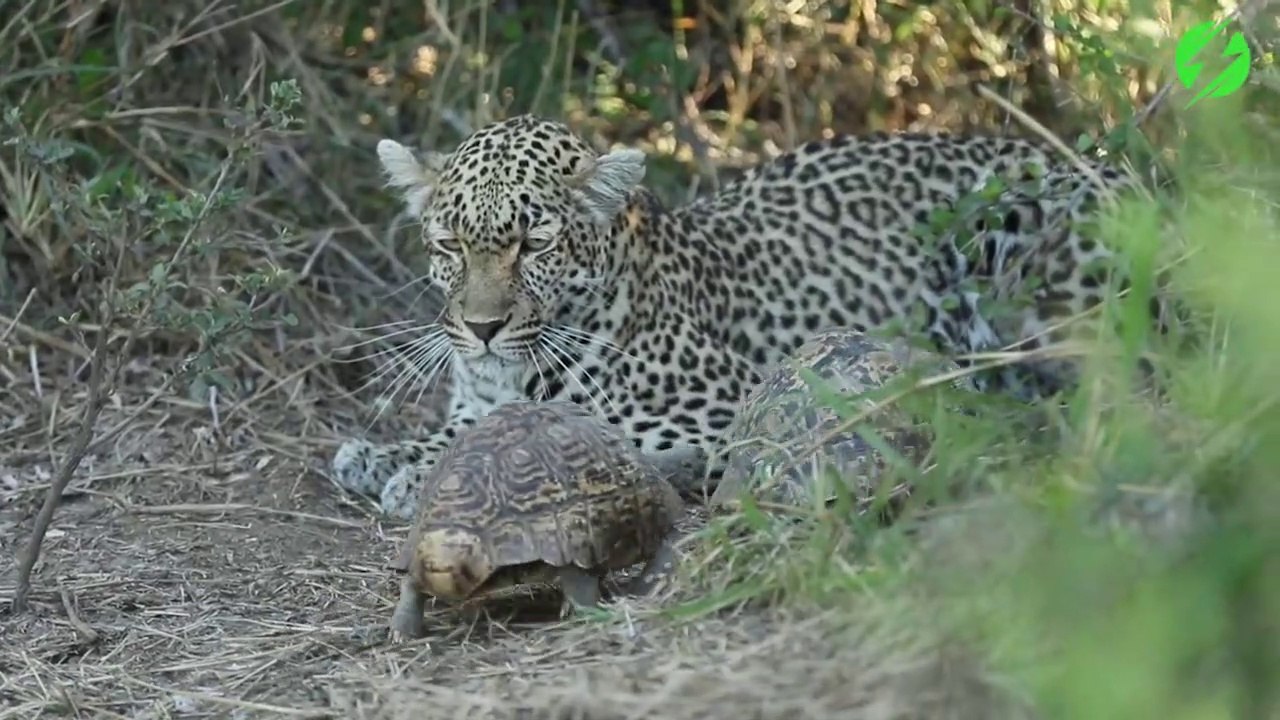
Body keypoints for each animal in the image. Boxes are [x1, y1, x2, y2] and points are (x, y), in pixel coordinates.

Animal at [332, 114, 1156, 520]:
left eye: (534, 243)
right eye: (450, 245)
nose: (481, 328)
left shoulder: (722, 405)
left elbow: (573, 431)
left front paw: (413, 476)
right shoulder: (478, 397)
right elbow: (465, 428)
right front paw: (380, 455)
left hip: (1018, 243)